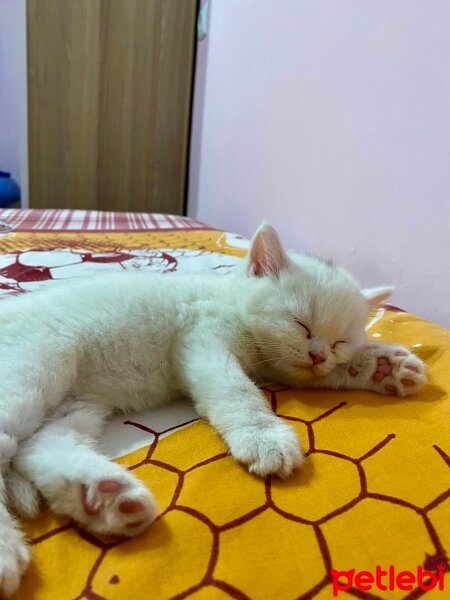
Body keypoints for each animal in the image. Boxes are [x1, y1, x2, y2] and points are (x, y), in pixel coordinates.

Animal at [0, 224, 426, 596]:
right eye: (301, 324)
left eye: (340, 341)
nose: (318, 354)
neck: (232, 302)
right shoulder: (202, 340)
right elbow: (237, 391)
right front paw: (265, 438)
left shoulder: (279, 367)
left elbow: (324, 373)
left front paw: (383, 366)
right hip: (36, 367)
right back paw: (9, 551)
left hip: (74, 403)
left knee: (37, 448)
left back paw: (104, 497)